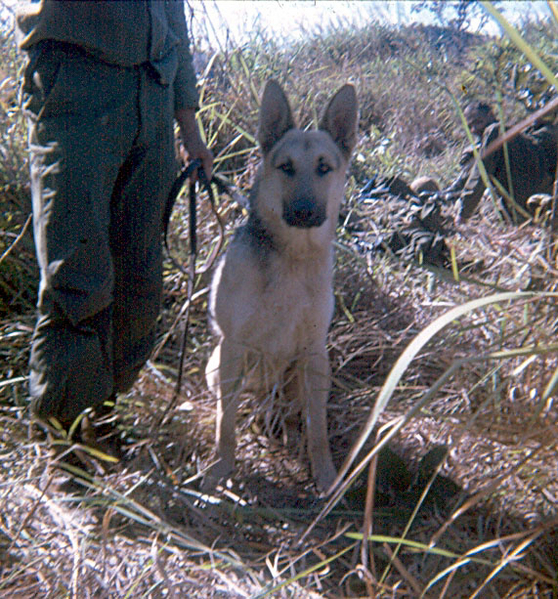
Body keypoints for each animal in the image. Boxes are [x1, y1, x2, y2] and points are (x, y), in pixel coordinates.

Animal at [206, 79, 358, 492]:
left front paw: (325, 475)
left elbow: (318, 429)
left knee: (294, 414)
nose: (304, 211)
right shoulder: (234, 345)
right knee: (233, 404)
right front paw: (220, 467)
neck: (292, 258)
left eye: (324, 167)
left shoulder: (314, 351)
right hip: (218, 365)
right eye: (285, 167)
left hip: (308, 373)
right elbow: (225, 422)